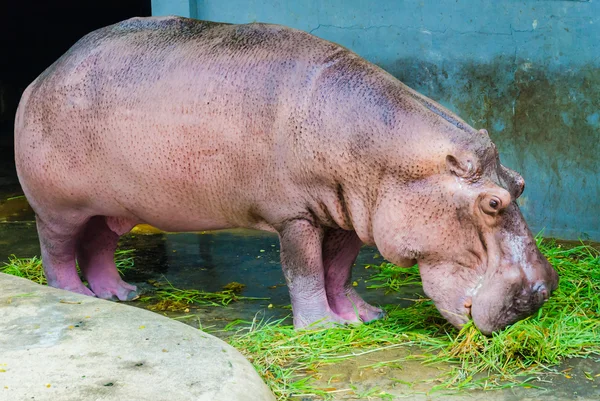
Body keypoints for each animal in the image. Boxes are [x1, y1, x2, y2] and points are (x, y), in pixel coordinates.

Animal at [12, 15, 556, 332]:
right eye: (492, 203)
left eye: (521, 182)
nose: (542, 292)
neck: (387, 156)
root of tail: (47, 71)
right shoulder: (295, 215)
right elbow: (306, 271)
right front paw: (320, 328)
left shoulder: (346, 215)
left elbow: (338, 270)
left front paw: (363, 316)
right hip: (58, 206)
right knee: (57, 249)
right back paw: (74, 295)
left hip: (115, 205)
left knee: (99, 243)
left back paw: (120, 294)